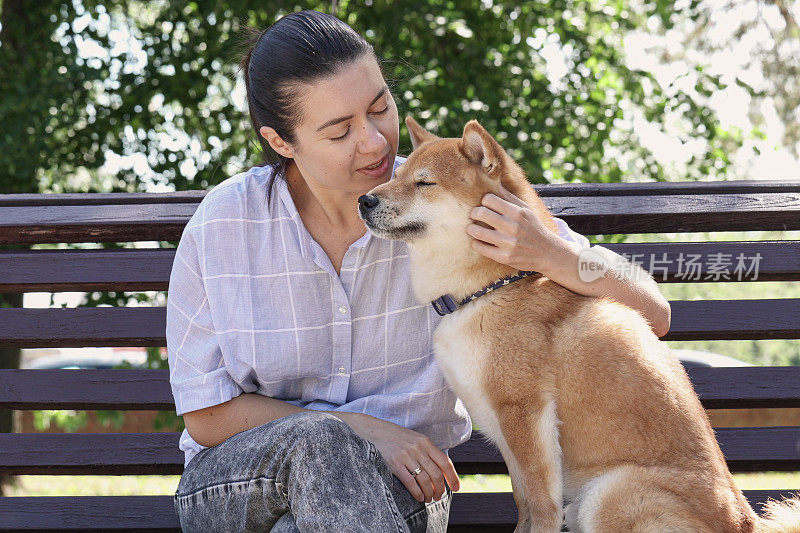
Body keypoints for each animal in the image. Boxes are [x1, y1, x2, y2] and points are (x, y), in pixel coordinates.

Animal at [358, 116, 800, 532]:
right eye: (395, 175)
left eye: (423, 182)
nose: (364, 199)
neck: (489, 288)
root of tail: (745, 522)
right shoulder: (508, 431)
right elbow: (524, 504)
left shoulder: (526, 413)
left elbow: (542, 506)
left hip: (607, 494)